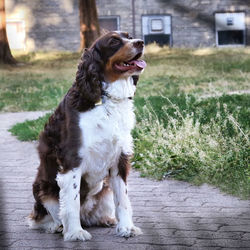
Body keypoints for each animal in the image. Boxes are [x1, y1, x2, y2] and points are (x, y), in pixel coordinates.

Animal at [28, 30, 146, 241]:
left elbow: (123, 199)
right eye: (114, 42)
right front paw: (75, 232)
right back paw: (56, 226)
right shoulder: (72, 159)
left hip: (104, 190)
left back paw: (107, 219)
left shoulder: (120, 159)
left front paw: (127, 228)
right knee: (39, 219)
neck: (105, 99)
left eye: (129, 36)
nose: (140, 42)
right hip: (43, 189)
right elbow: (71, 203)